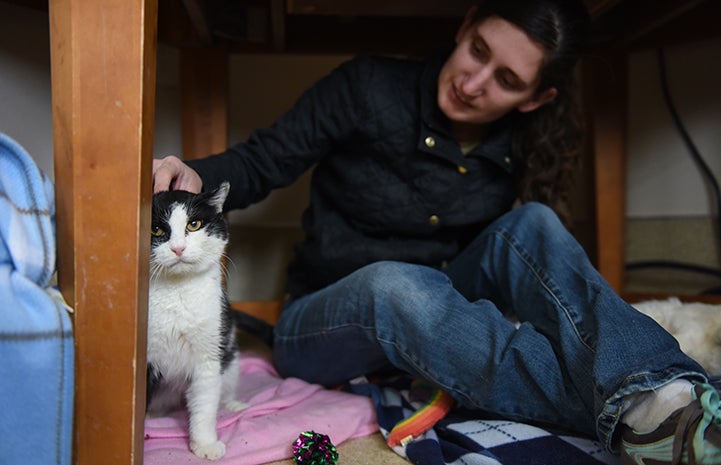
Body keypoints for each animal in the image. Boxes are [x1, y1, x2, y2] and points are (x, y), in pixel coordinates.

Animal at [147, 180, 248, 456]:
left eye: (194, 224)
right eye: (156, 229)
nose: (178, 248)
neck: (178, 291)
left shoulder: (209, 353)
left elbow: (204, 404)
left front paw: (205, 444)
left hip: (231, 359)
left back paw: (233, 405)